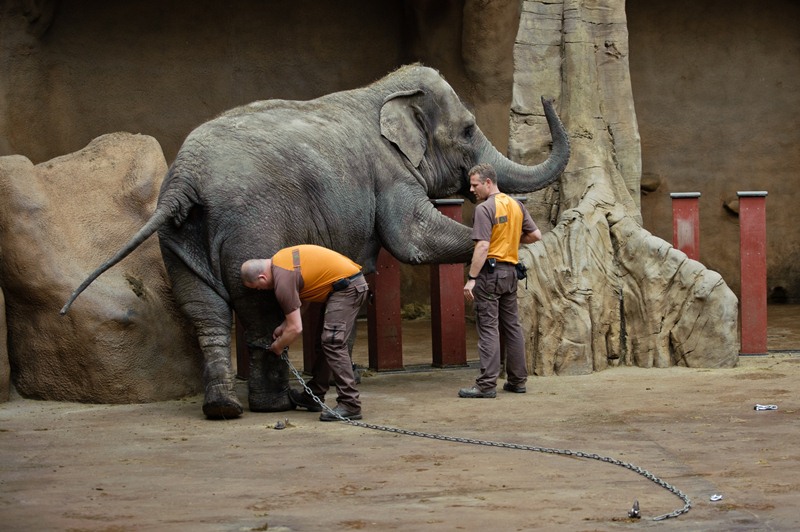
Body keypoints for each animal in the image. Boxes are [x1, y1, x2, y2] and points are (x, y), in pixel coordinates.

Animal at [61, 63, 568, 420]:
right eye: (467, 130)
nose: (547, 96)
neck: (378, 90)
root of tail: (183, 180)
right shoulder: (388, 171)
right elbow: (414, 239)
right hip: (250, 227)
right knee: (259, 312)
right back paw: (275, 405)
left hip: (178, 238)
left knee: (205, 309)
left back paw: (225, 407)